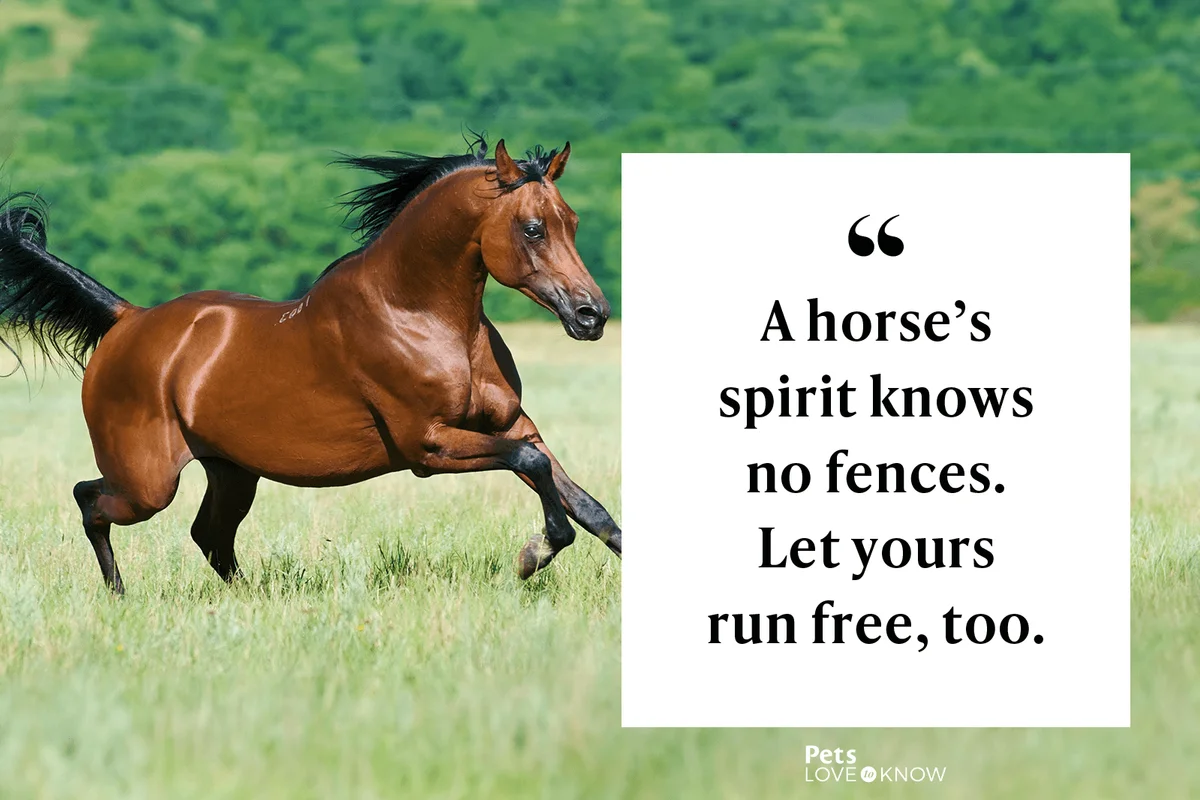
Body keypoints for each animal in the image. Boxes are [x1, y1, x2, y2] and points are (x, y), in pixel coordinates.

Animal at [0, 136, 621, 594]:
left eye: (572, 221)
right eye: (533, 228)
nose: (591, 315)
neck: (420, 313)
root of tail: (125, 319)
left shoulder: (512, 425)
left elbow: (587, 505)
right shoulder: (429, 446)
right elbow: (537, 473)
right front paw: (533, 554)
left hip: (231, 470)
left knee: (209, 536)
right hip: (147, 482)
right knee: (90, 500)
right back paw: (119, 595)